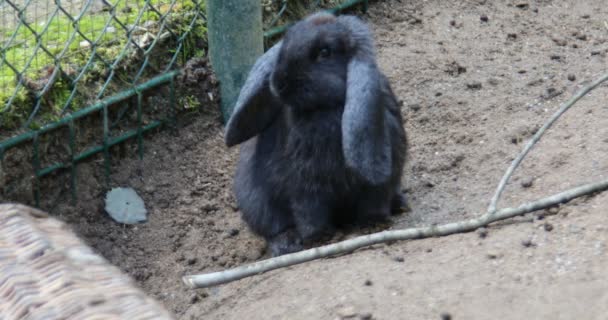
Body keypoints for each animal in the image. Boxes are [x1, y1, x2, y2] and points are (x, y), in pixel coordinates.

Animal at [224, 12, 408, 256]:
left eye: (324, 52)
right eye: (286, 41)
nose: (279, 83)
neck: (325, 108)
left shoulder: (378, 181)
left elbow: (374, 199)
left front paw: (374, 224)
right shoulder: (306, 186)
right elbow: (309, 212)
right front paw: (319, 237)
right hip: (257, 201)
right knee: (274, 226)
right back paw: (288, 243)